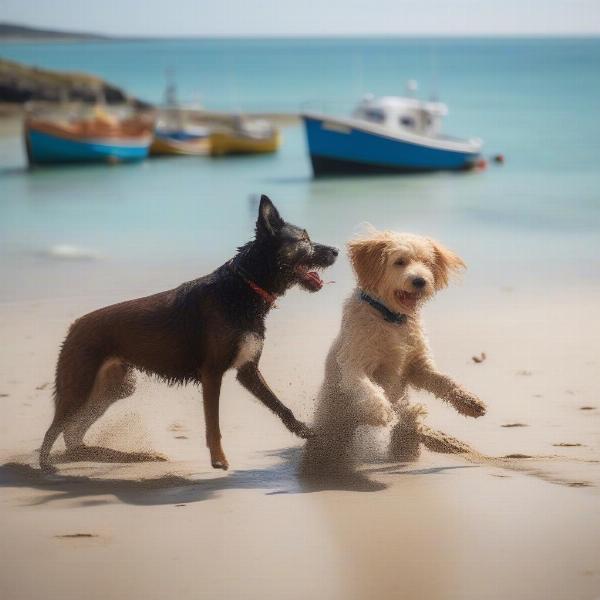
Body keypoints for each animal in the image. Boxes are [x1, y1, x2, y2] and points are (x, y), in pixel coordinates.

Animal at [304, 229, 488, 468]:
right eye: (399, 262)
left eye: (426, 263)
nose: (420, 281)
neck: (391, 318)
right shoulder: (355, 363)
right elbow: (366, 387)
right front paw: (380, 410)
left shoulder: (418, 366)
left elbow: (444, 381)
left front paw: (468, 401)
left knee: (406, 426)